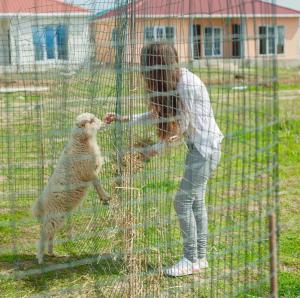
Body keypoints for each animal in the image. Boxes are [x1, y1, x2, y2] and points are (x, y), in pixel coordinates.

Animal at [32, 113, 109, 264]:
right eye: (92, 120)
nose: (105, 123)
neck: (81, 143)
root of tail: (39, 207)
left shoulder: (93, 169)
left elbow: (97, 181)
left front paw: (103, 198)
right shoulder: (87, 171)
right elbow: (97, 181)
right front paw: (104, 196)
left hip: (58, 217)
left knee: (50, 234)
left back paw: (52, 253)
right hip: (53, 216)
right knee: (44, 234)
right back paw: (40, 258)